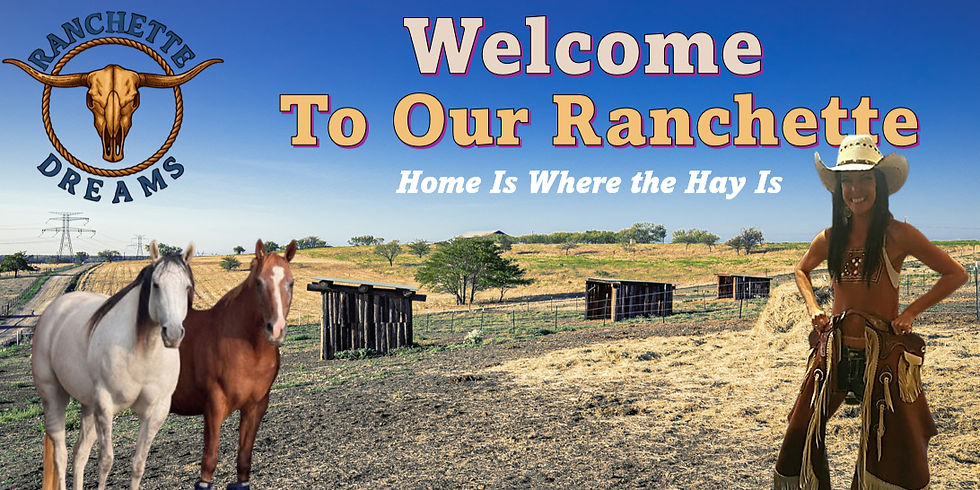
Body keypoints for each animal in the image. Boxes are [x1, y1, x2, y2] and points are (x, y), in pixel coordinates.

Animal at [32, 241, 196, 490]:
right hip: (54, 397)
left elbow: (138, 464)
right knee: (61, 455)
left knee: (80, 454)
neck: (143, 352)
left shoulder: (155, 412)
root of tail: (53, 310)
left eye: (187, 287)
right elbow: (106, 462)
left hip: (89, 407)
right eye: (156, 285)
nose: (174, 334)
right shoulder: (106, 406)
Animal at [171, 239, 296, 489]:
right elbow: (209, 460)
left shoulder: (256, 407)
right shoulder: (213, 407)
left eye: (291, 283)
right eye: (258, 282)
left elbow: (244, 457)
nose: (276, 330)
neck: (249, 349)